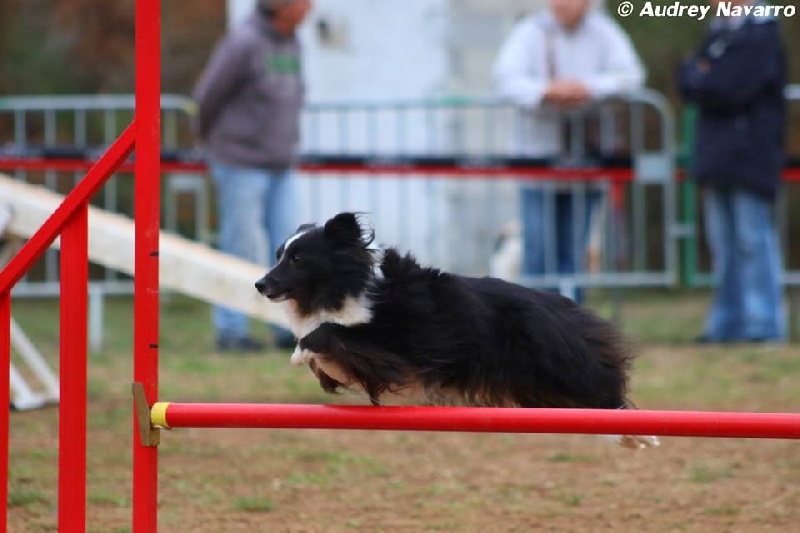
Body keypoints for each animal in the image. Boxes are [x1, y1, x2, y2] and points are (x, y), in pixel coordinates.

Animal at [255, 214, 656, 446]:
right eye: (278, 255)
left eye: (297, 259)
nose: (260, 284)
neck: (345, 284)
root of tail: (558, 303)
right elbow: (331, 354)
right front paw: (307, 356)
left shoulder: (394, 348)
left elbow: (331, 333)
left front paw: (302, 349)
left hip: (559, 366)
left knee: (606, 389)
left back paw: (642, 434)